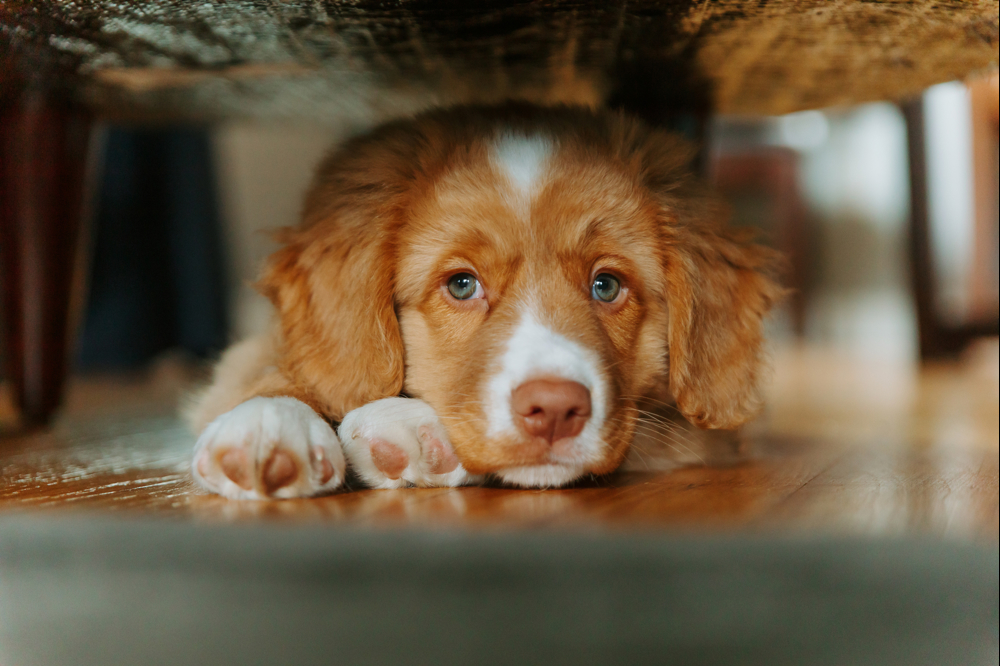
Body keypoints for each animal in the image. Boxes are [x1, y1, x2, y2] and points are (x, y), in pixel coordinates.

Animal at [186, 105, 780, 498]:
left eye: (607, 285)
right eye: (462, 285)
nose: (555, 410)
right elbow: (271, 369)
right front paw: (267, 420)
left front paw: (415, 431)